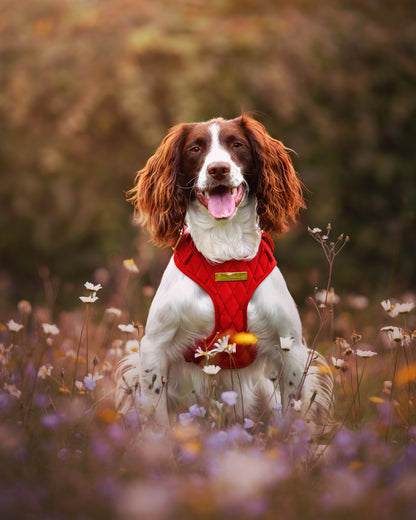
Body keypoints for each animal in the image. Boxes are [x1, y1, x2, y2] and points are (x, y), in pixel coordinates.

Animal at [115, 116, 334, 432]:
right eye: (195, 148)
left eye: (237, 144)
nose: (218, 169)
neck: (226, 253)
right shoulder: (154, 348)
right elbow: (159, 422)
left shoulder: (290, 346)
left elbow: (293, 414)